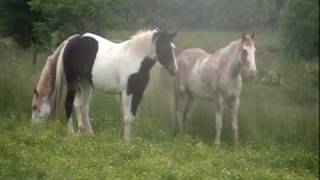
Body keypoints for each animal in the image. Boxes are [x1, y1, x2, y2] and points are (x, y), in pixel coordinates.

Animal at [31, 28, 178, 140]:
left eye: (173, 48)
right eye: (164, 47)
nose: (174, 70)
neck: (135, 58)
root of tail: (71, 40)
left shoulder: (138, 92)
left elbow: (133, 116)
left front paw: (131, 139)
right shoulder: (127, 92)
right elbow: (127, 116)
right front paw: (126, 140)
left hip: (85, 84)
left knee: (83, 107)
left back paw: (90, 134)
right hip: (73, 83)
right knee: (69, 105)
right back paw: (71, 133)